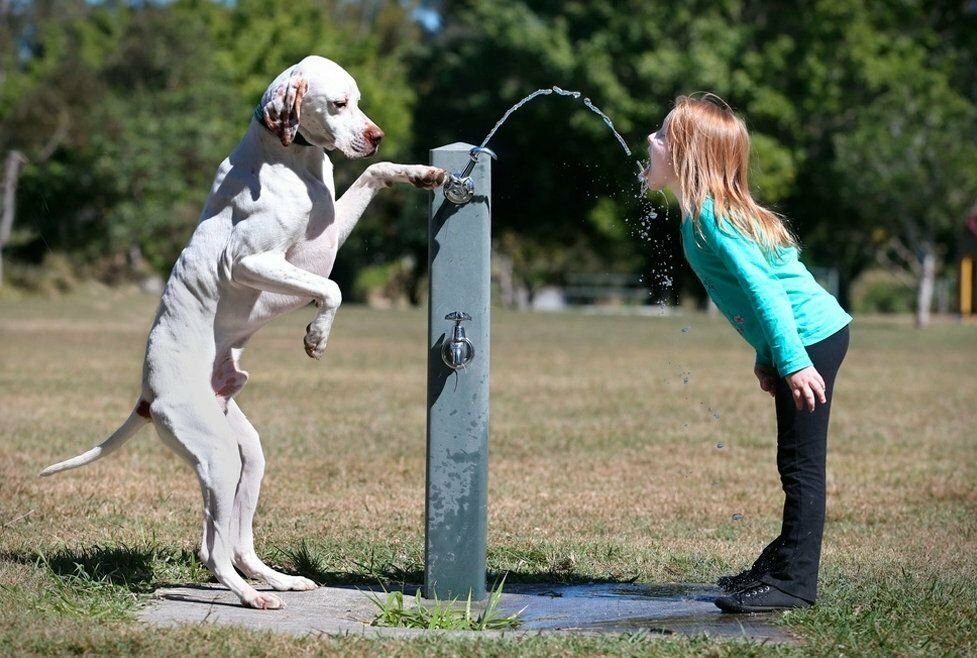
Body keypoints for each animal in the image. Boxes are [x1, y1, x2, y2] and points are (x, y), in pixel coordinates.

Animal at [39, 57, 446, 608]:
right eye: (338, 103)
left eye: (358, 101)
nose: (376, 135)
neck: (291, 159)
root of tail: (147, 395)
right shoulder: (254, 261)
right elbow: (333, 288)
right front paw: (316, 336)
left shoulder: (325, 239)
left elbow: (373, 175)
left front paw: (422, 174)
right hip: (218, 457)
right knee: (212, 549)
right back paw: (252, 597)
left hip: (246, 457)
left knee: (236, 542)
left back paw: (277, 580)